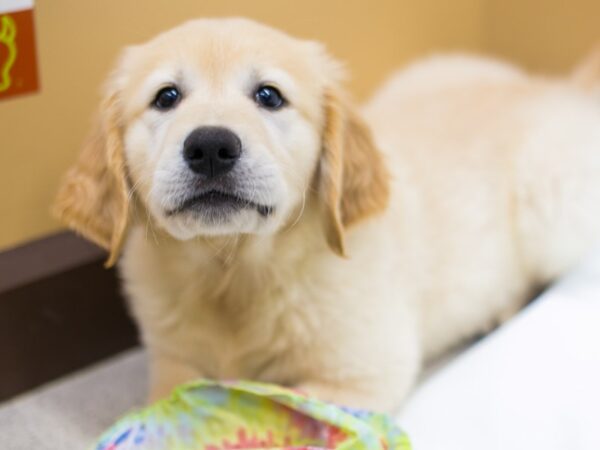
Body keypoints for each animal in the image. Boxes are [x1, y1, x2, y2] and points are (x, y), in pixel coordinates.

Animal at [54, 18, 600, 412]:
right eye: (166, 97)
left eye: (269, 95)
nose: (209, 147)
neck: (233, 272)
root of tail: (552, 87)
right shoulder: (172, 363)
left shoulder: (360, 376)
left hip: (554, 203)